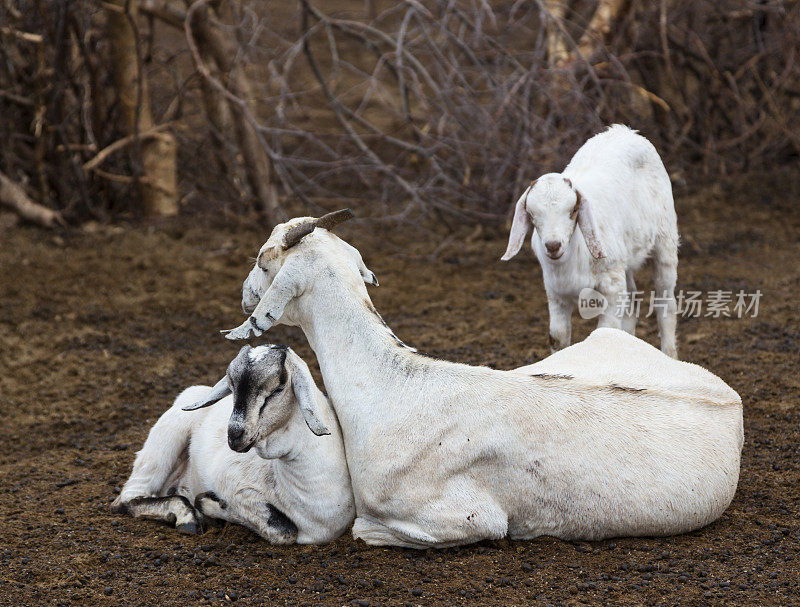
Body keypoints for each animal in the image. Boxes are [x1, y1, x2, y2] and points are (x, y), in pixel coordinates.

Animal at [111, 344, 354, 548]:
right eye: (232, 387)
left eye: (279, 388)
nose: (235, 435)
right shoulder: (232, 483)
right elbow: (284, 530)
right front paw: (209, 505)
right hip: (165, 438)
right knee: (128, 498)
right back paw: (186, 518)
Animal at [222, 213, 740, 552]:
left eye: (263, 261)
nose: (244, 293)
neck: (392, 389)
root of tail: (731, 399)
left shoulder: (465, 519)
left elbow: (361, 529)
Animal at [504, 125, 680, 358]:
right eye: (532, 215)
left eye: (573, 210)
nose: (553, 246)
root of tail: (626, 131)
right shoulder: (555, 291)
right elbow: (557, 336)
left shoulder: (611, 286)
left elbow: (606, 332)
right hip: (625, 259)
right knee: (632, 301)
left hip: (665, 241)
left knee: (665, 303)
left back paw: (669, 354)